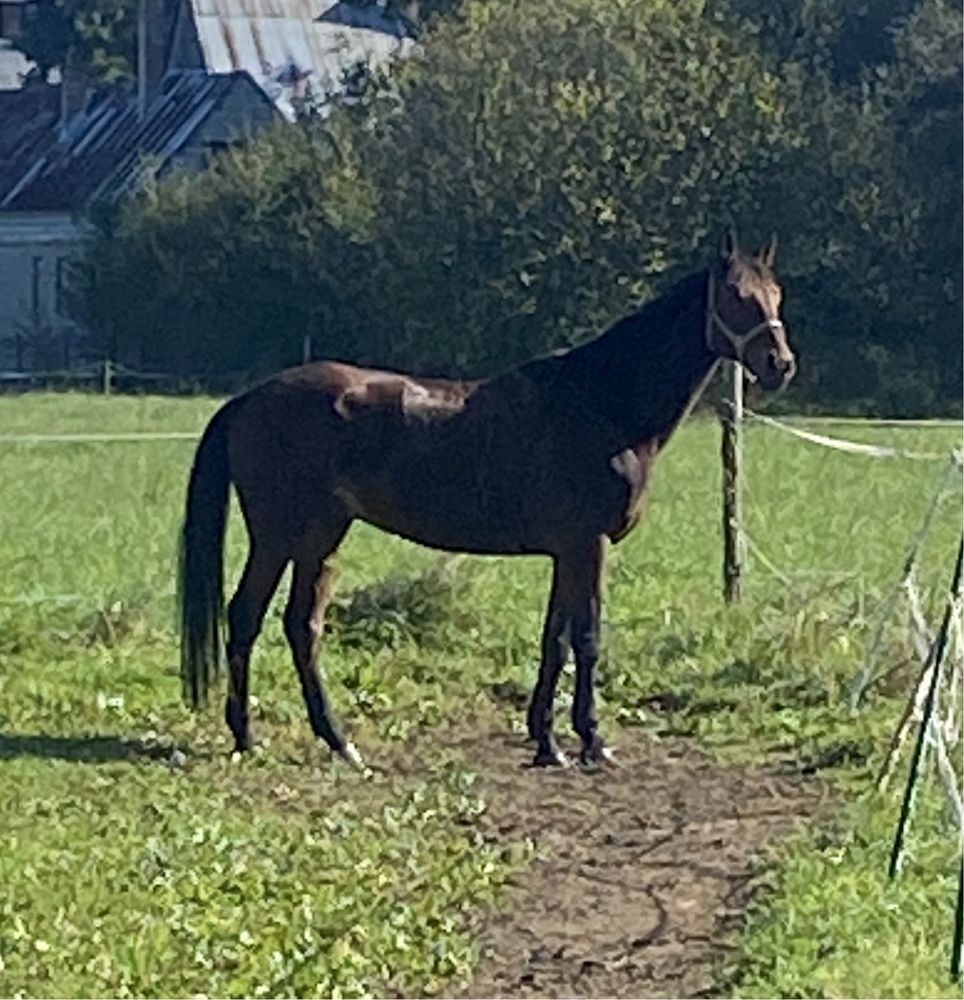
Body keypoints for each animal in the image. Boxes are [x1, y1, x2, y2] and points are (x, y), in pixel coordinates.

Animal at [177, 234, 796, 764]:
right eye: (735, 296)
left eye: (775, 295)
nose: (780, 364)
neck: (601, 403)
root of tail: (250, 398)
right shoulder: (587, 544)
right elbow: (588, 638)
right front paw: (592, 741)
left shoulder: (566, 551)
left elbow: (555, 640)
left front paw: (547, 742)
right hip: (278, 536)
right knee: (246, 616)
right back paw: (247, 736)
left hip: (320, 537)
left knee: (301, 626)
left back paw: (339, 741)